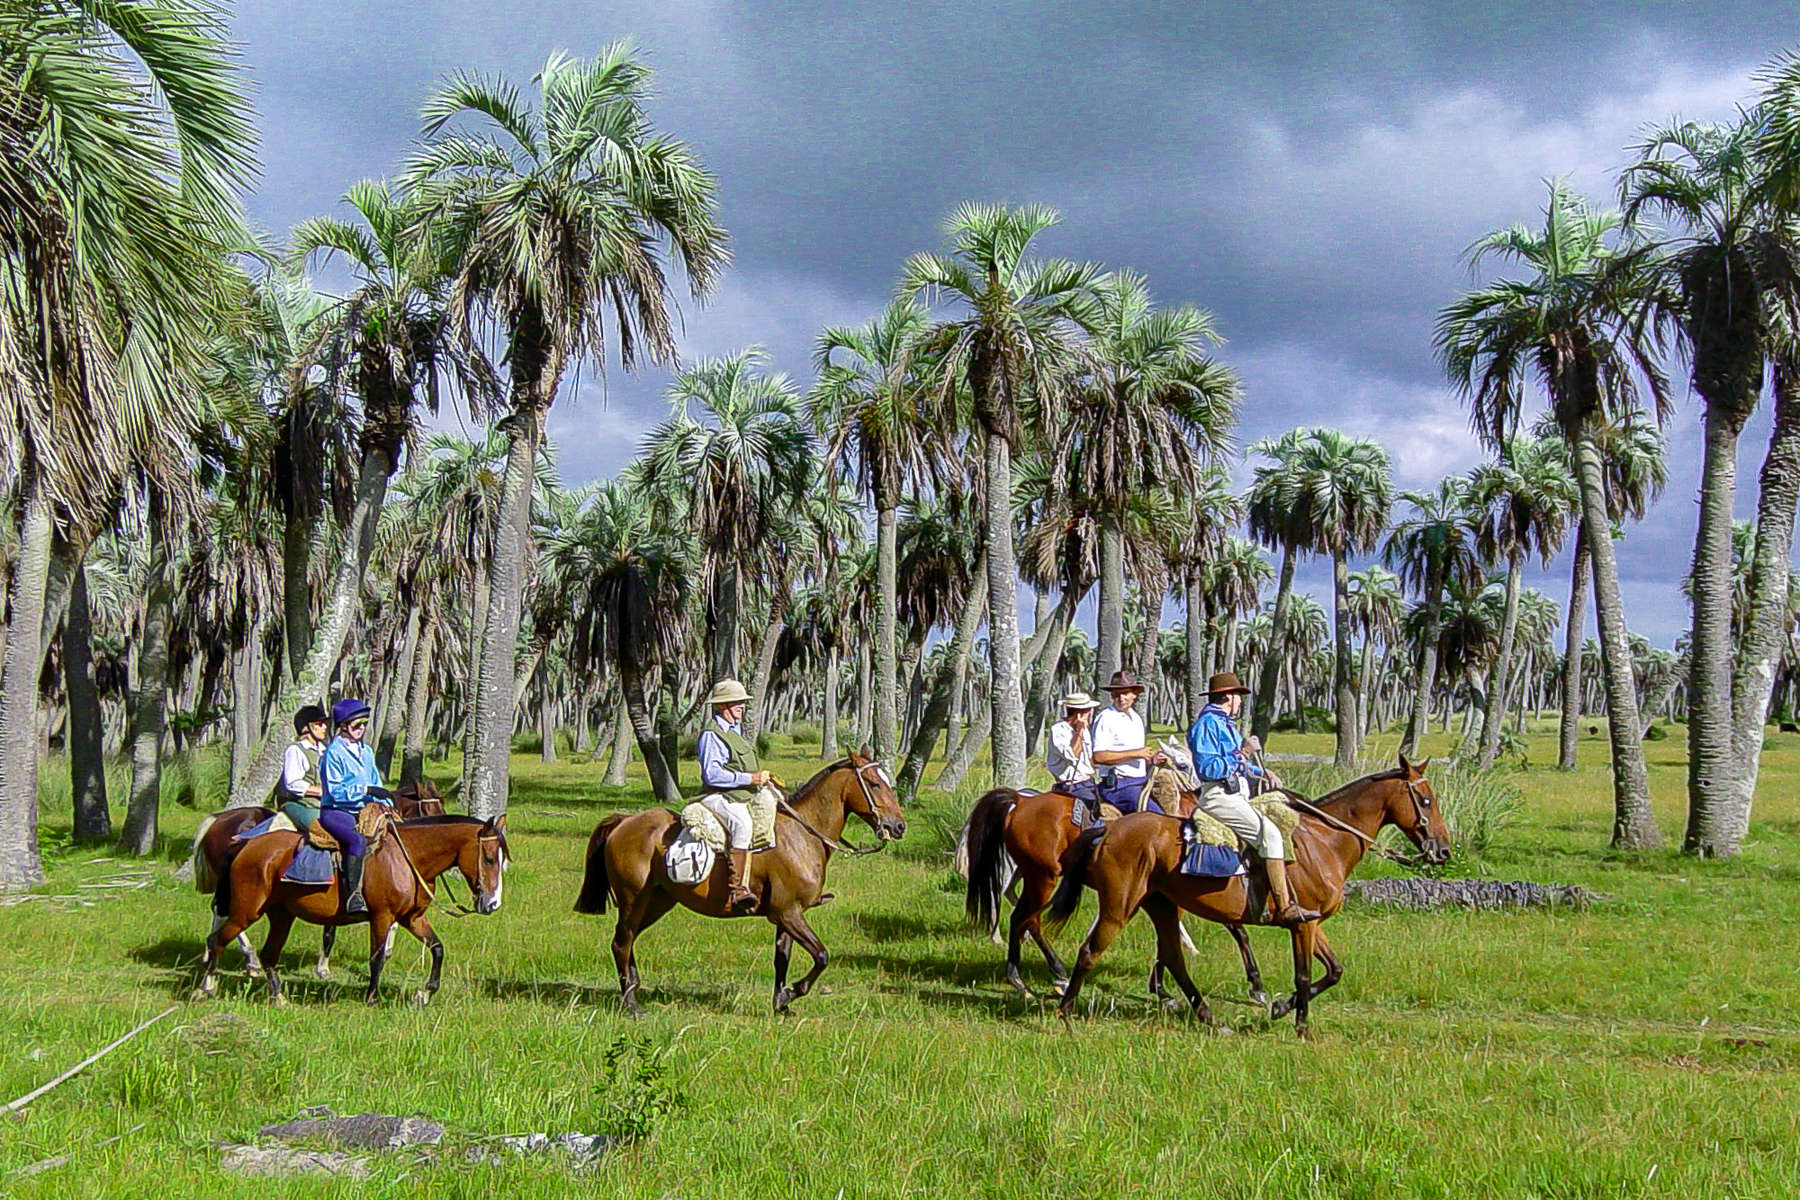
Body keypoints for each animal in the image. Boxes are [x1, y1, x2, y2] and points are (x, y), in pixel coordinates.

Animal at [185, 780, 450, 985]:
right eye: (430, 809)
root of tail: (217, 820)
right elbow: (333, 932)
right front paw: (324, 969)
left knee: (219, 914)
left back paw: (211, 957)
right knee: (227, 916)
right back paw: (247, 961)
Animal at [191, 816, 507, 1007]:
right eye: (489, 858)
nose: (492, 904)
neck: (406, 858)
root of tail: (245, 844)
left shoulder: (412, 918)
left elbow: (437, 949)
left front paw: (424, 994)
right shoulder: (382, 917)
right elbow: (376, 958)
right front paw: (372, 998)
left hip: (281, 915)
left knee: (268, 954)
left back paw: (278, 997)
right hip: (246, 911)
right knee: (217, 940)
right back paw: (205, 988)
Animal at [576, 752, 907, 1014]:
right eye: (875, 784)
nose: (898, 826)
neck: (802, 834)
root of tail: (624, 821)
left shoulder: (788, 915)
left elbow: (782, 958)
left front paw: (781, 1002)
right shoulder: (789, 913)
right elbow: (822, 956)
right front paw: (791, 993)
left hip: (657, 902)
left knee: (628, 940)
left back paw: (633, 989)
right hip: (634, 900)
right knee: (621, 942)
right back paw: (631, 1004)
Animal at [972, 784, 1267, 1007]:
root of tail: (1021, 801)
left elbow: (1236, 932)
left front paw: (1256, 985)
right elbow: (1171, 941)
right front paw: (1162, 989)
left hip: (1036, 877)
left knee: (1028, 920)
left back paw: (1053, 976)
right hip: (1042, 878)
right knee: (1023, 918)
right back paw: (1023, 980)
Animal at [1051, 755, 1454, 1036]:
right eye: (1426, 800)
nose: (1444, 850)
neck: (1323, 840)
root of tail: (1109, 829)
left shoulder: (1312, 922)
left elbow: (1334, 971)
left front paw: (1281, 1008)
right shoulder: (1301, 926)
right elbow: (1304, 975)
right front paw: (1301, 1026)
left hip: (1161, 906)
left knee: (1174, 959)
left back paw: (1210, 1018)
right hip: (1119, 908)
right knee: (1090, 952)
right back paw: (1065, 1015)